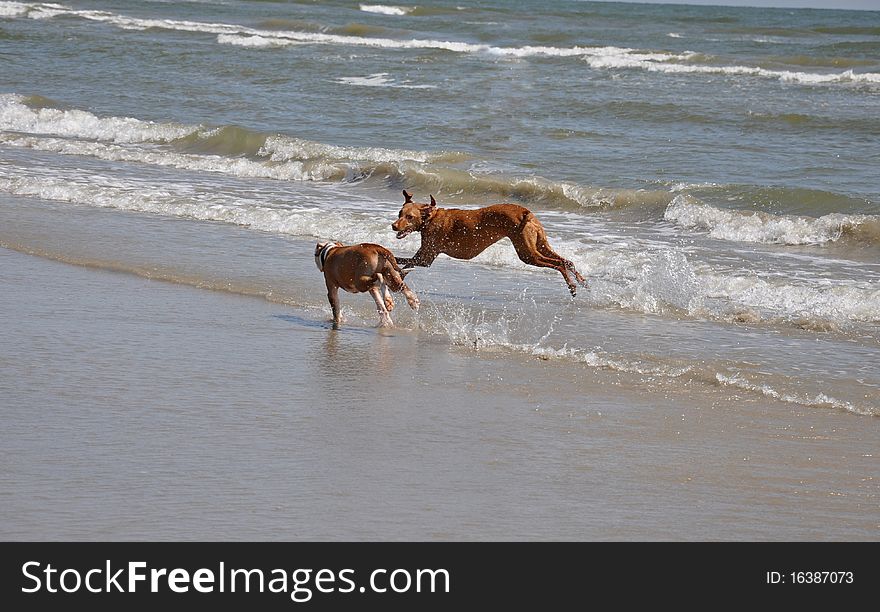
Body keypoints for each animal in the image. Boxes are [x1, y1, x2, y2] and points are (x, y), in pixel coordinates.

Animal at [390, 191, 584, 296]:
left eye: (409, 217)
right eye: (400, 213)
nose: (393, 226)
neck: (430, 217)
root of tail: (525, 212)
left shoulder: (425, 259)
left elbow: (400, 261)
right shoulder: (423, 256)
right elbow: (403, 265)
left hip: (528, 254)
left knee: (558, 264)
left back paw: (572, 286)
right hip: (540, 245)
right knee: (567, 261)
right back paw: (582, 281)